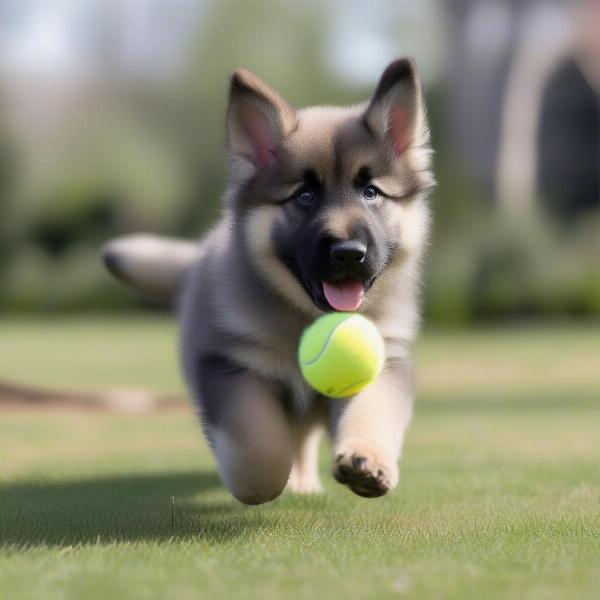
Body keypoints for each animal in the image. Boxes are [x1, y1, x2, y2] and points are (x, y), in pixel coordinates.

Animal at [103, 59, 432, 502]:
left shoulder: (384, 363)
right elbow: (258, 444)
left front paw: (367, 460)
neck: (306, 319)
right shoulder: (231, 367)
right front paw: (261, 483)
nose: (348, 253)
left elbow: (372, 413)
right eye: (305, 196)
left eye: (370, 192)